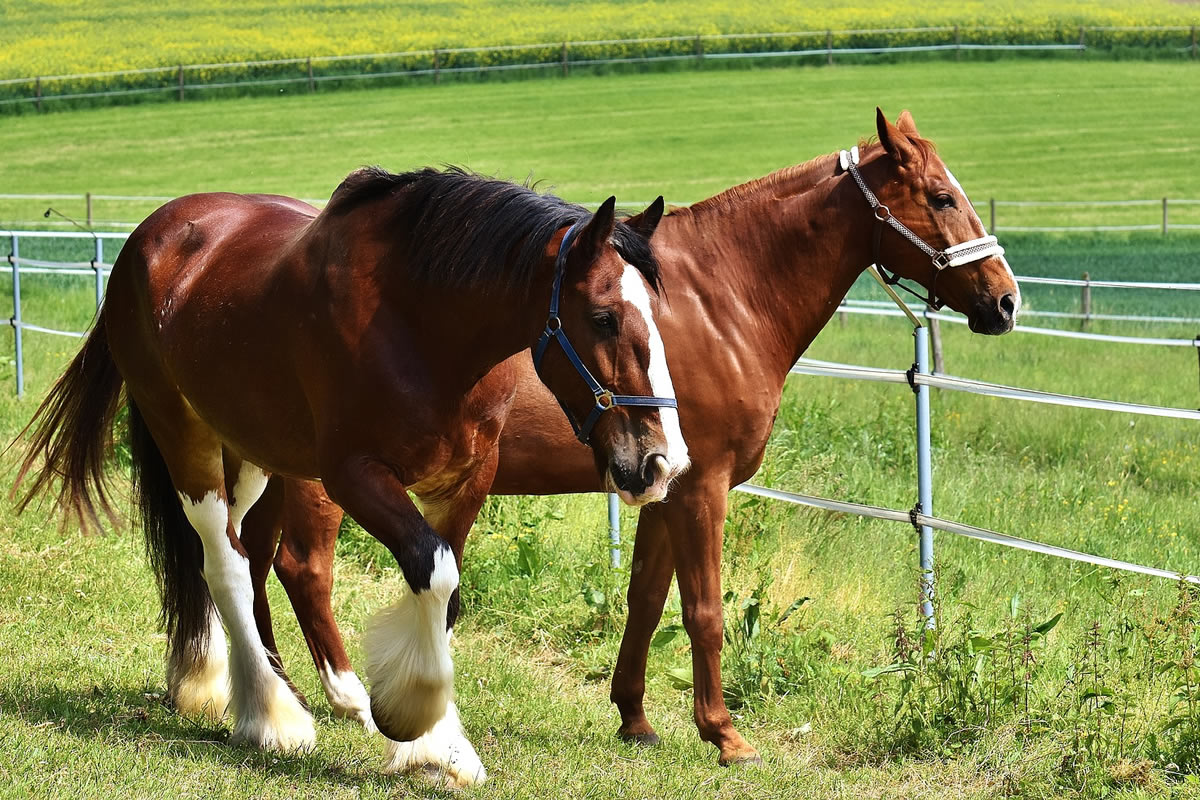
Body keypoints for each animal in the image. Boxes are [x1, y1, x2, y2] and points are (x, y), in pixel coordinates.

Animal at [9, 167, 691, 777]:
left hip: (253, 454)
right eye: (603, 317)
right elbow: (433, 572)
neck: (421, 325)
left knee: (244, 558)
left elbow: (443, 594)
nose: (660, 463)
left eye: (658, 315)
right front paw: (416, 724)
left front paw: (435, 749)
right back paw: (273, 715)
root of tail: (149, 235)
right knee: (225, 563)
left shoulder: (468, 478)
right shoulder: (352, 476)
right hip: (186, 437)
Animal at [238, 106, 1017, 782]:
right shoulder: (701, 488)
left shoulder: (660, 481)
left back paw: (279, 690)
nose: (1007, 300)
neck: (720, 301)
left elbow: (646, 600)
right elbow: (703, 612)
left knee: (254, 557)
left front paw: (635, 719)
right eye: (943, 198)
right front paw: (724, 734)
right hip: (322, 481)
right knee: (302, 567)